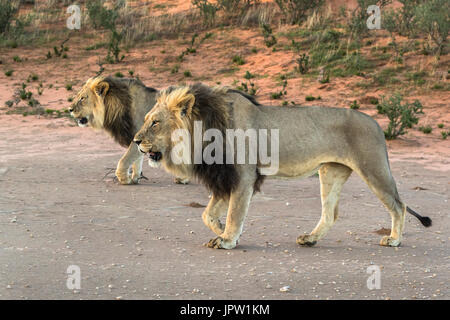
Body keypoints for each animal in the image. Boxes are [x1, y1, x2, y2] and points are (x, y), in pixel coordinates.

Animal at [134, 84, 432, 249]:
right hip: (331, 171)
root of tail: (377, 124)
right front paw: (223, 233)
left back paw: (394, 240)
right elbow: (207, 215)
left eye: (155, 122)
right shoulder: (226, 178)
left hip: (373, 168)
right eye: (147, 119)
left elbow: (234, 213)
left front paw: (228, 240)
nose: (135, 141)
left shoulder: (243, 176)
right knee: (331, 213)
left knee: (399, 205)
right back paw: (310, 239)